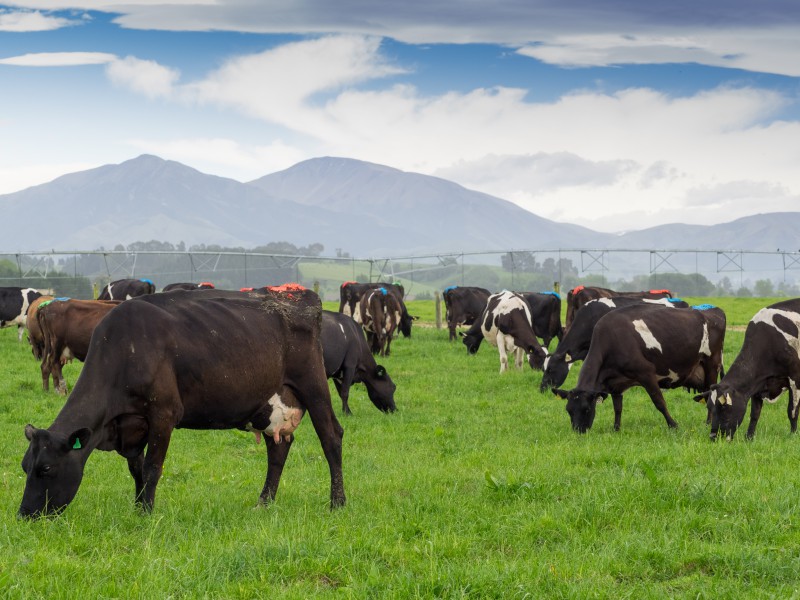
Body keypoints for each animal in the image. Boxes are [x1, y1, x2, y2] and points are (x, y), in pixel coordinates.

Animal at [18, 288, 344, 516]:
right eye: (24, 466)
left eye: (45, 468)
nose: (24, 515)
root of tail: (299, 296)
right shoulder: (132, 425)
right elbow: (137, 470)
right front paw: (138, 506)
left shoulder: (163, 414)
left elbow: (152, 467)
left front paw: (146, 514)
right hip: (268, 403)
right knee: (278, 448)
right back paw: (263, 503)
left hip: (313, 385)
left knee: (331, 437)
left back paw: (337, 503)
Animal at [552, 304, 724, 432]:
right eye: (569, 410)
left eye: (587, 409)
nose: (579, 431)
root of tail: (712, 311)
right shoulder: (615, 385)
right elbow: (618, 407)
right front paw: (616, 428)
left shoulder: (646, 373)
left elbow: (659, 402)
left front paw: (673, 425)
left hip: (711, 365)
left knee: (711, 394)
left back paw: (708, 423)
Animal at [692, 300, 800, 440]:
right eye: (709, 407)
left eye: (724, 407)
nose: (713, 436)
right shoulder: (758, 384)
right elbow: (755, 413)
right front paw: (749, 437)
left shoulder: (795, 379)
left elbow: (792, 411)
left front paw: (793, 434)